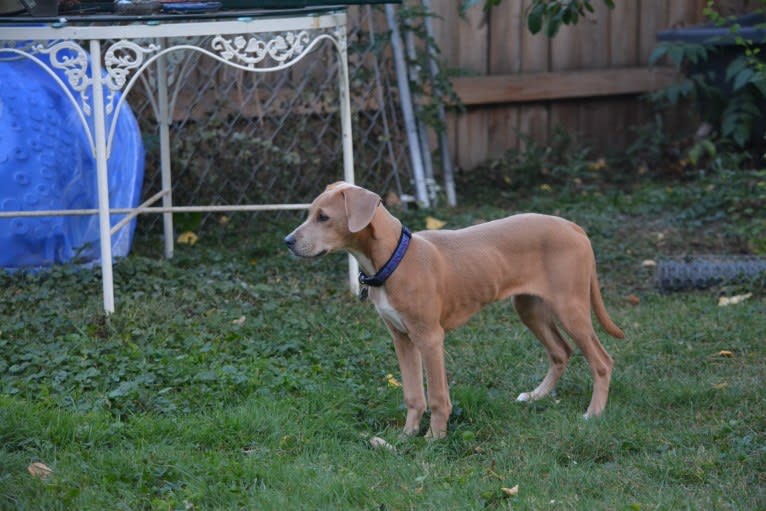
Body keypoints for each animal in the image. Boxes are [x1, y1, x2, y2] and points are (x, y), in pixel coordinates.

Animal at [284, 183, 628, 440]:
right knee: (561, 351)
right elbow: (413, 394)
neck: (395, 258)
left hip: (570, 308)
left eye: (324, 217)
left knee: (602, 361)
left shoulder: (430, 339)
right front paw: (407, 435)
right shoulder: (401, 339)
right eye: (310, 213)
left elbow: (437, 396)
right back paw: (536, 396)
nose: (288, 241)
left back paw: (594, 413)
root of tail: (573, 227)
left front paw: (434, 439)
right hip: (530, 308)